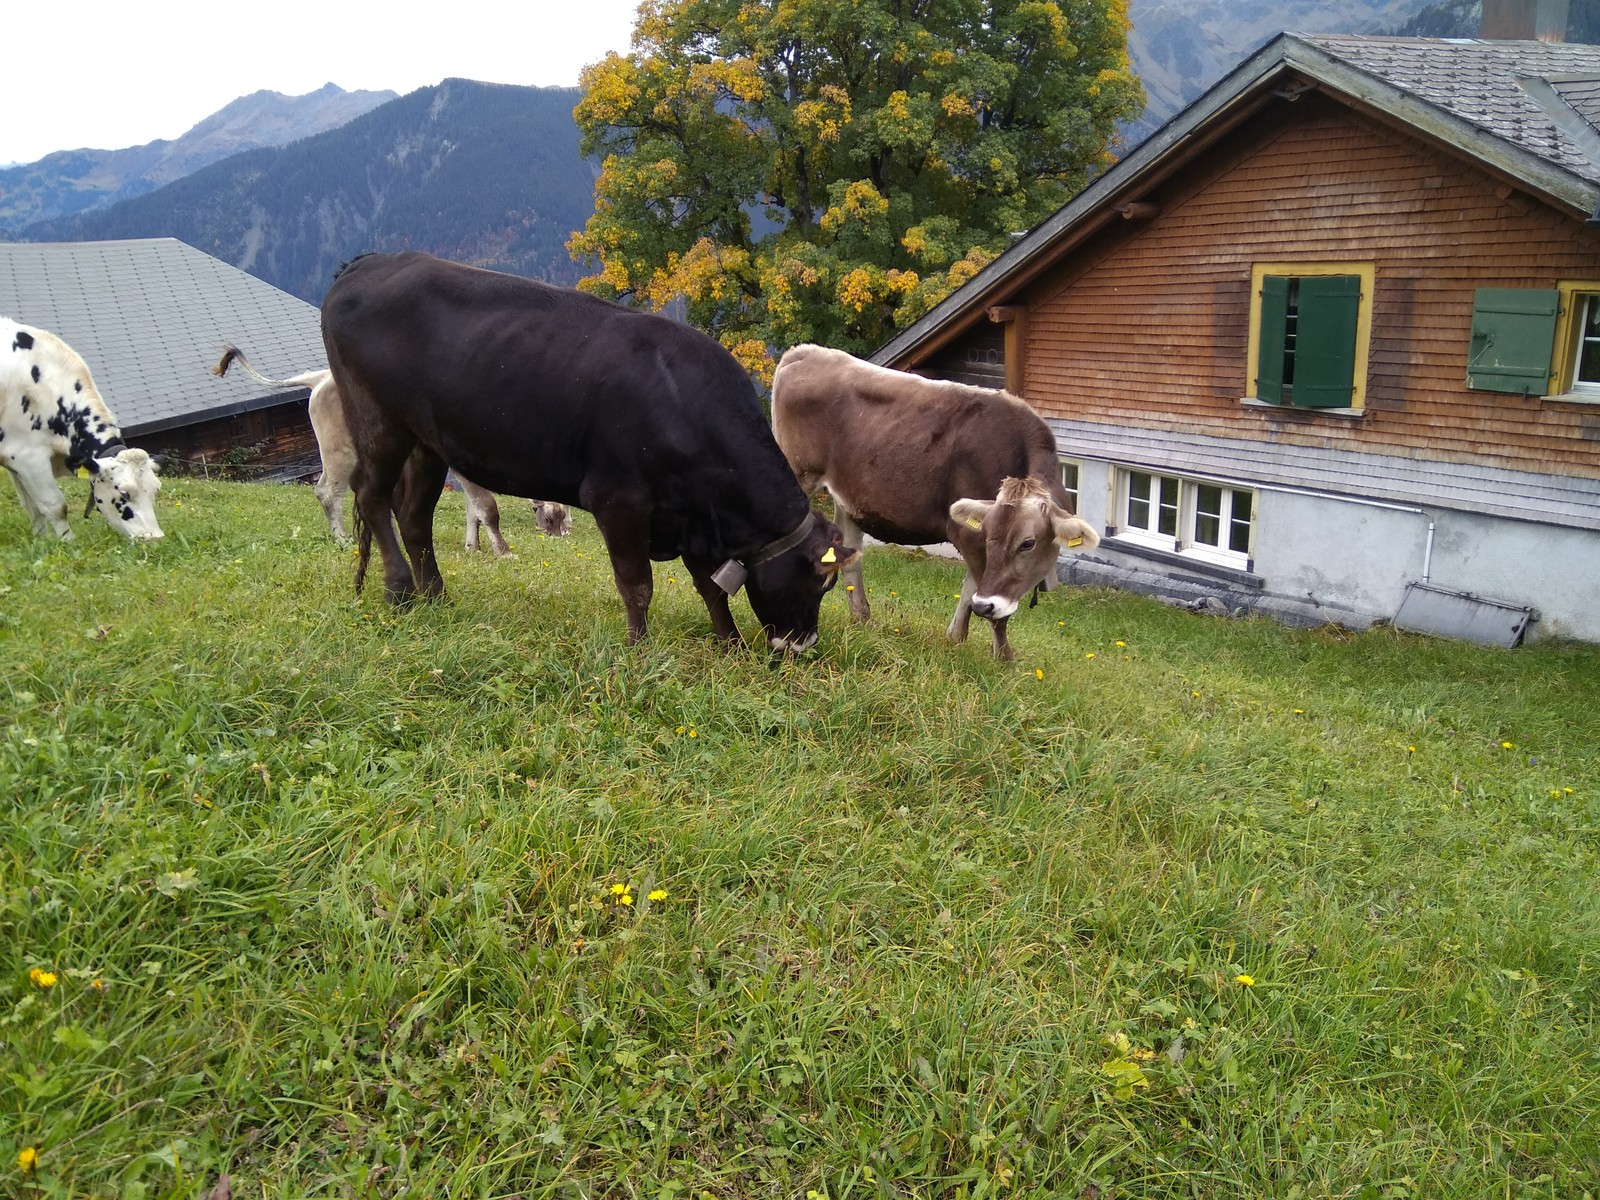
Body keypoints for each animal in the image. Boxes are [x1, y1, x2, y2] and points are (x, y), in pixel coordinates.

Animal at [1, 320, 164, 544]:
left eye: (156, 490)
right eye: (124, 494)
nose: (155, 539)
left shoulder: (14, 460)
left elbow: (32, 507)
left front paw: (41, 542)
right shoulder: (29, 457)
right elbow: (55, 506)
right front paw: (67, 543)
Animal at [316, 249, 857, 652]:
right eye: (823, 581)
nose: (803, 644)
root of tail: (371, 260)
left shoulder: (691, 515)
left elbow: (709, 586)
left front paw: (730, 645)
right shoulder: (619, 500)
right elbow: (637, 584)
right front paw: (640, 650)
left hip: (426, 442)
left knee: (413, 516)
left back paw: (436, 597)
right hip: (378, 420)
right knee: (371, 497)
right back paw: (400, 591)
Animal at [764, 342, 1094, 662]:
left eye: (1028, 543)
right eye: (991, 537)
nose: (987, 605)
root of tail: (804, 352)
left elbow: (970, 592)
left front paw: (955, 641)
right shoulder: (966, 533)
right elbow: (991, 609)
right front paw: (1004, 662)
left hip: (847, 497)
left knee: (850, 557)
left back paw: (863, 621)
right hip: (798, 474)